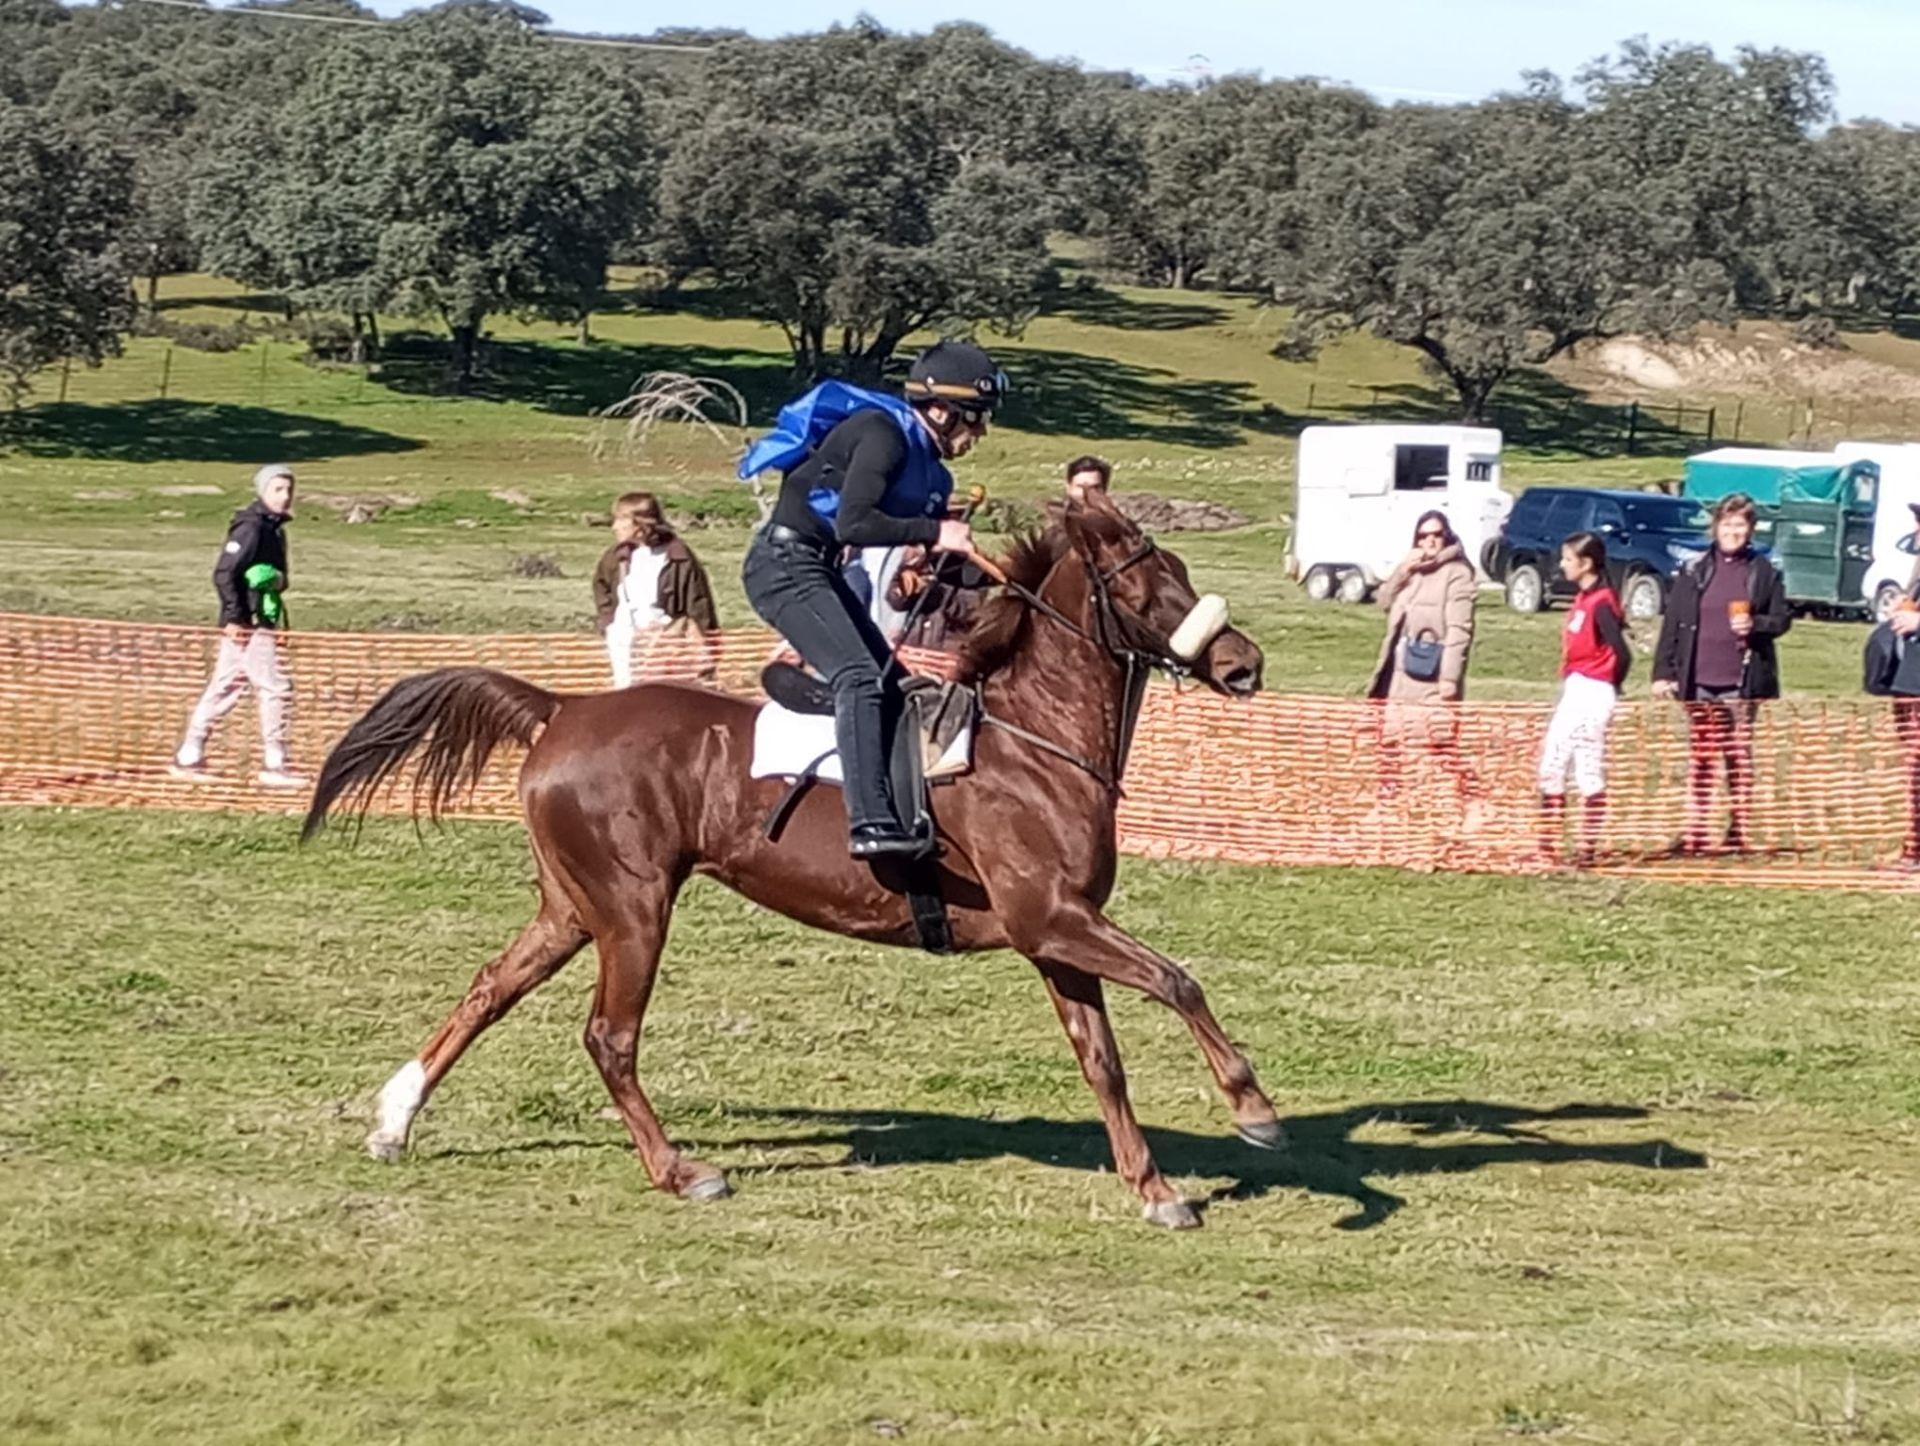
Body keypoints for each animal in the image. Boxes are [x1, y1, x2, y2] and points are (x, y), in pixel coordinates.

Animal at [303, 490, 1280, 1229]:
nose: (1244, 664)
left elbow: (1102, 1059)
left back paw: (395, 1120)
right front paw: (1253, 1109)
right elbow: (1178, 980)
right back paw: (680, 1170)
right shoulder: (1054, 918)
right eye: (1150, 583)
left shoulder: (1056, 936)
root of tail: (564, 708)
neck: (1031, 737)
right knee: (609, 1037)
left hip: (572, 907)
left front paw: (1152, 1186)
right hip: (633, 907)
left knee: (489, 990)